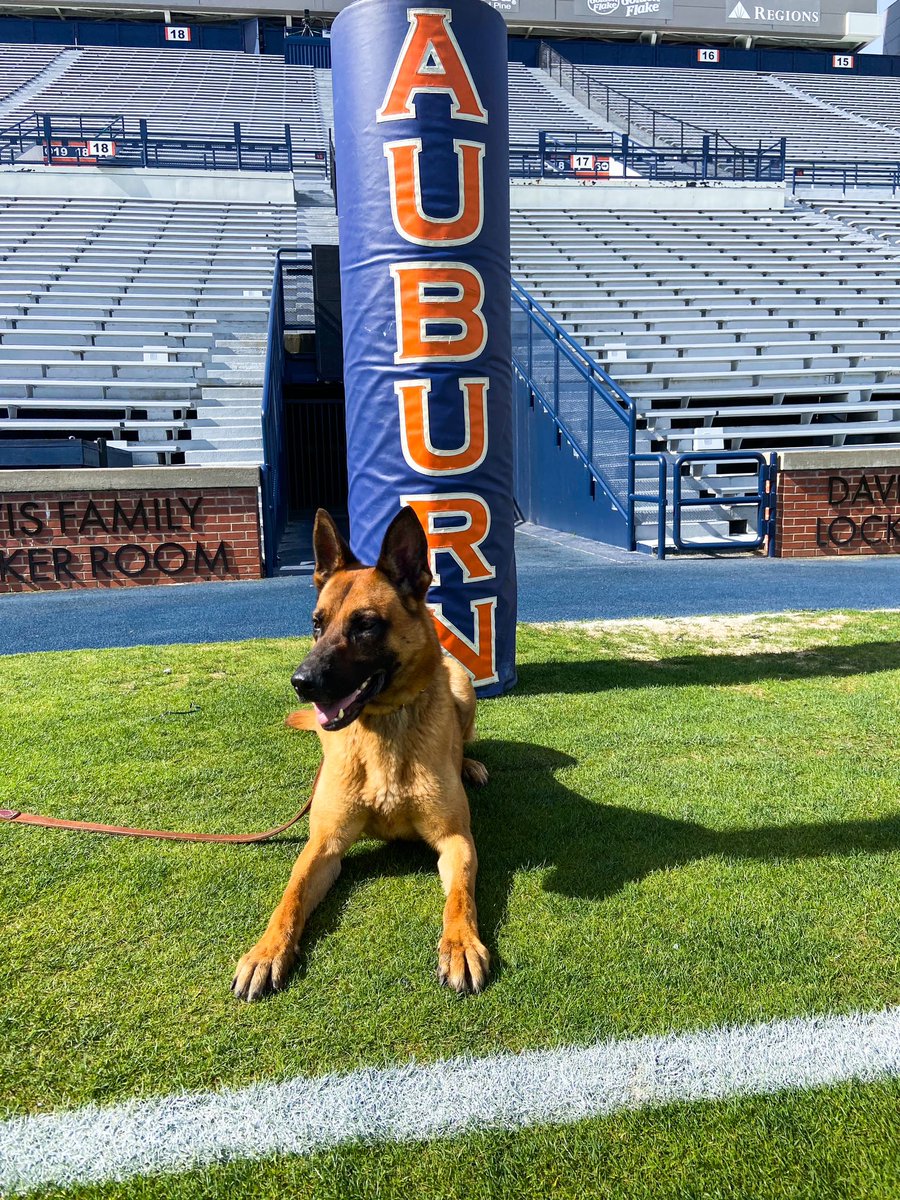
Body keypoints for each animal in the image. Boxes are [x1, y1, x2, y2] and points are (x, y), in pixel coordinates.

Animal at [229, 506, 489, 1003]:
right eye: (317, 623)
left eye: (365, 625)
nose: (301, 682)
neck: (383, 731)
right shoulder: (323, 845)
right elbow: (290, 896)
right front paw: (266, 952)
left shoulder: (458, 840)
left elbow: (461, 898)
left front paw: (462, 944)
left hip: (462, 680)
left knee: (464, 735)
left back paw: (469, 764)